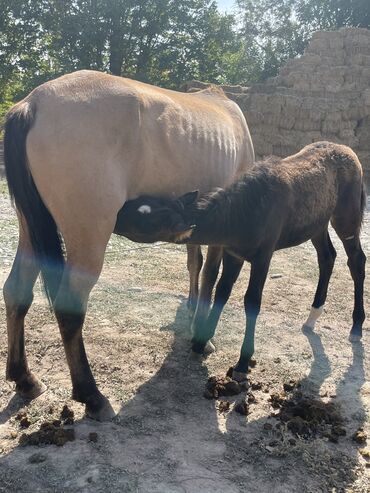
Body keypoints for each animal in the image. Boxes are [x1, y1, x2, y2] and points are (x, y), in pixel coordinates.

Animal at [2, 68, 254, 418]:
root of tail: (35, 102)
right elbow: (209, 276)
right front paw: (202, 336)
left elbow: (196, 264)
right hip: (88, 235)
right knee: (69, 307)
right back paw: (91, 395)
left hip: (30, 228)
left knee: (17, 292)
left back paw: (25, 379)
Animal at [119, 141, 368, 380]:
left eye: (144, 217)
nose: (117, 212)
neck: (240, 215)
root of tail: (350, 153)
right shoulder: (233, 254)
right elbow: (222, 291)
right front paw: (200, 343)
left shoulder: (263, 256)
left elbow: (252, 301)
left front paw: (242, 363)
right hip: (317, 224)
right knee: (327, 257)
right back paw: (312, 316)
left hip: (346, 217)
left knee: (356, 259)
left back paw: (356, 326)